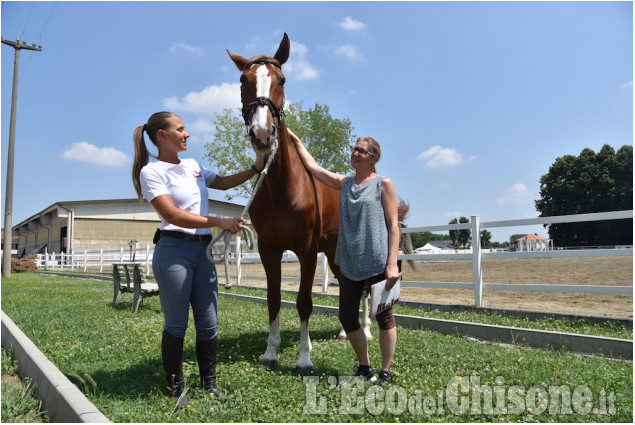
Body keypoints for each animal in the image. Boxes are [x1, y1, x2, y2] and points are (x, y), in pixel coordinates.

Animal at [226, 34, 340, 372]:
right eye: (243, 80)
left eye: (283, 79)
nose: (263, 135)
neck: (283, 189)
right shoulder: (269, 249)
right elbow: (274, 299)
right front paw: (271, 351)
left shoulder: (306, 250)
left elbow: (303, 301)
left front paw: (303, 357)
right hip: (333, 253)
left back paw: (364, 332)